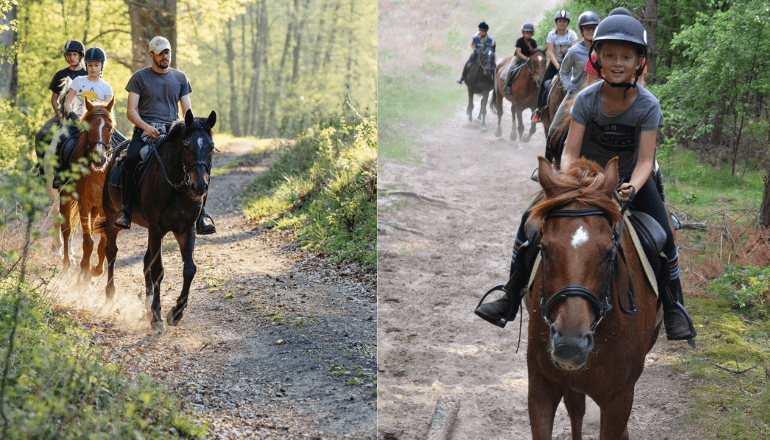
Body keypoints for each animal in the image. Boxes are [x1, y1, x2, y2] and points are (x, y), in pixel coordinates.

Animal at [56, 98, 115, 284]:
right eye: (89, 127)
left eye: (109, 127)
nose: (99, 159)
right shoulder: (84, 203)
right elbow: (87, 241)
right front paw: (85, 275)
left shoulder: (103, 206)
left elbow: (102, 240)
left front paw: (97, 270)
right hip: (65, 197)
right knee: (66, 229)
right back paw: (67, 264)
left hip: (96, 207)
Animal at [100, 109, 216, 330]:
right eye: (186, 146)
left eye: (211, 147)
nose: (199, 186)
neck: (177, 189)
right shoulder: (156, 228)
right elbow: (158, 271)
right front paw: (156, 316)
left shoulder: (185, 229)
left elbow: (189, 268)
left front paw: (176, 312)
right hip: (112, 217)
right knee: (111, 252)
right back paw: (110, 296)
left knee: (146, 260)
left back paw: (146, 304)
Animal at [524, 156, 664, 438]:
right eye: (543, 248)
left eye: (609, 252)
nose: (570, 345)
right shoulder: (541, 386)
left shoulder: (619, 399)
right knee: (576, 408)